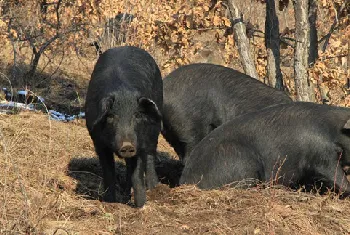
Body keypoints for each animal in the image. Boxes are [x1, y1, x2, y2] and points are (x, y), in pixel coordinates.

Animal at [85, 46, 163, 207]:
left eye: (137, 115)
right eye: (111, 116)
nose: (127, 145)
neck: (123, 93)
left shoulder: (140, 141)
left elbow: (137, 174)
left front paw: (140, 206)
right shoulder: (98, 142)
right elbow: (109, 172)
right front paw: (110, 202)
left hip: (155, 127)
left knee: (150, 155)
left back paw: (154, 188)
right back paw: (126, 196)